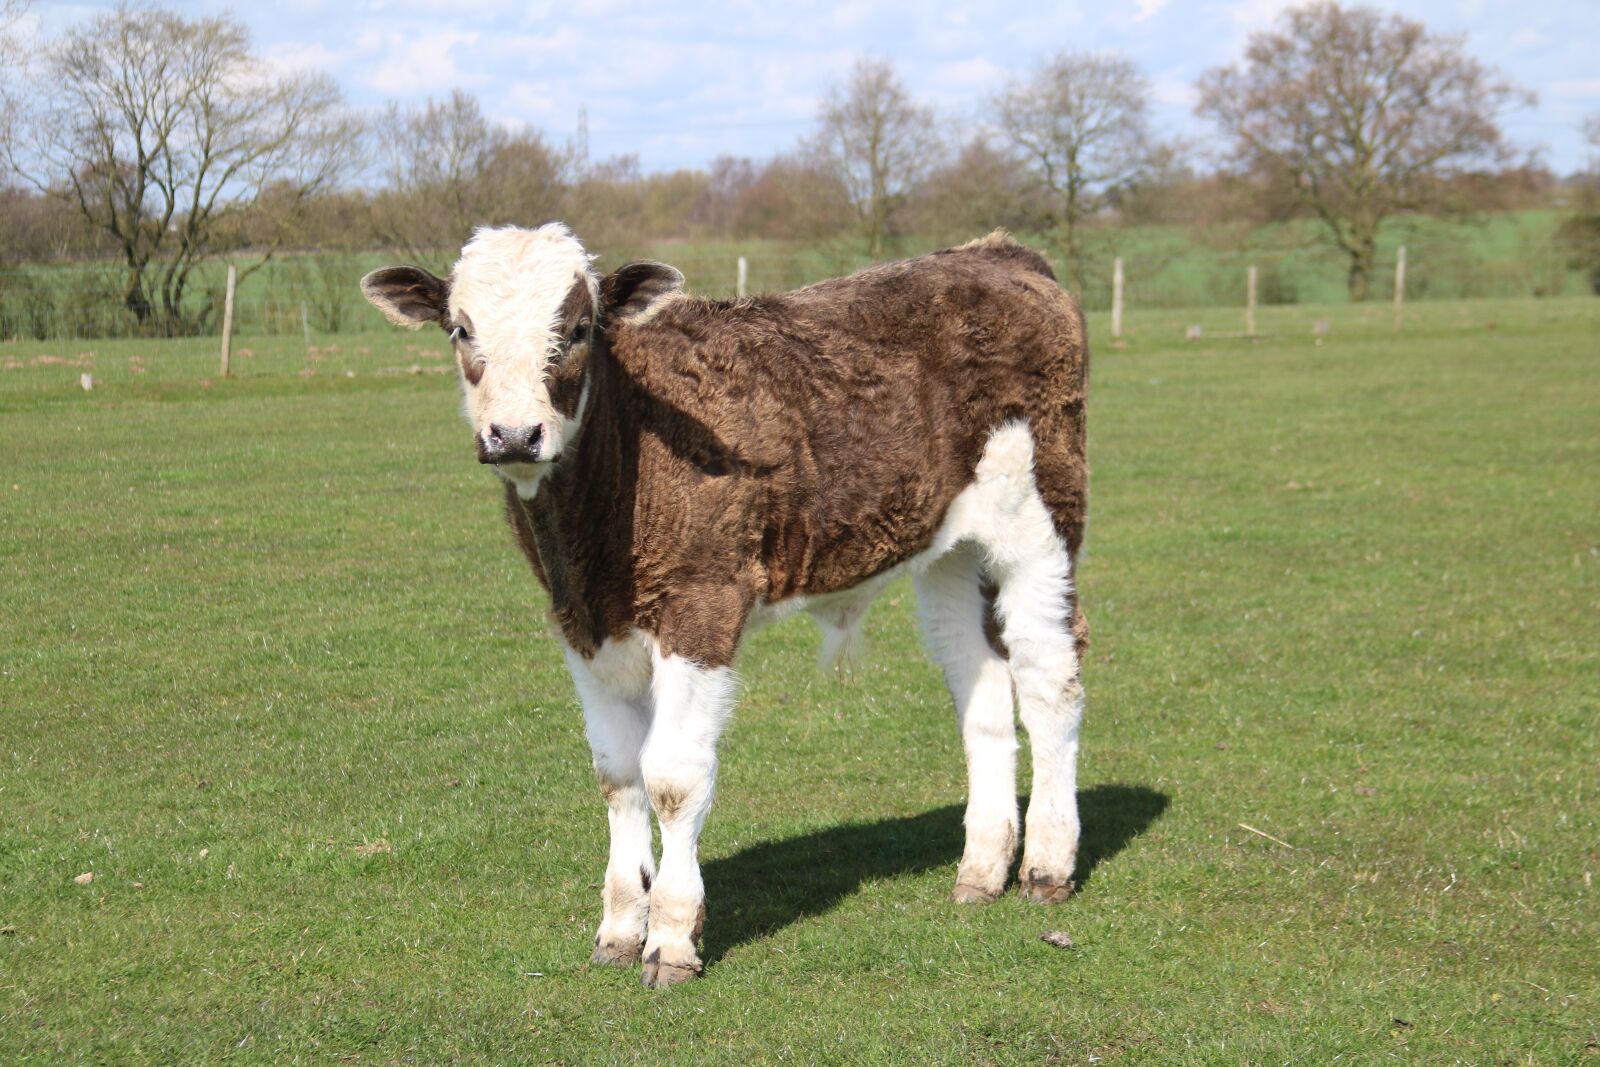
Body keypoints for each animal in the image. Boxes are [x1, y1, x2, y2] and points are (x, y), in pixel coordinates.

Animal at [361, 227, 1088, 991]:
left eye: (580, 328)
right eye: (460, 329)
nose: (514, 434)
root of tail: (995, 251)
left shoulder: (702, 604)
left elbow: (673, 779)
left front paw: (672, 937)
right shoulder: (578, 624)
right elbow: (618, 774)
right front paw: (620, 926)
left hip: (1041, 519)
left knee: (1050, 680)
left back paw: (1047, 864)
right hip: (949, 551)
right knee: (982, 686)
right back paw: (982, 868)